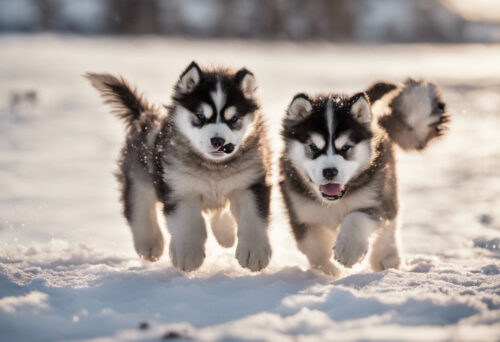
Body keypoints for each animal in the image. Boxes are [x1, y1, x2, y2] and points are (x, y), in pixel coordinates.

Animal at [87, 60, 274, 270]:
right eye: (200, 116)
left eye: (234, 119)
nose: (218, 141)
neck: (214, 168)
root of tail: (144, 115)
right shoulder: (180, 187)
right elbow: (188, 221)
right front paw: (188, 254)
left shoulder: (251, 182)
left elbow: (253, 216)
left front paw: (254, 251)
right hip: (139, 176)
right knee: (138, 208)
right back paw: (150, 243)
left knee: (219, 210)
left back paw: (225, 233)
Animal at [278, 79, 450, 276]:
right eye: (313, 147)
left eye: (345, 147)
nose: (330, 172)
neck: (335, 202)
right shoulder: (300, 209)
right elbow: (312, 244)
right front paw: (328, 271)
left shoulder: (374, 198)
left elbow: (358, 217)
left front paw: (348, 251)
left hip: (388, 190)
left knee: (390, 223)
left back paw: (387, 257)